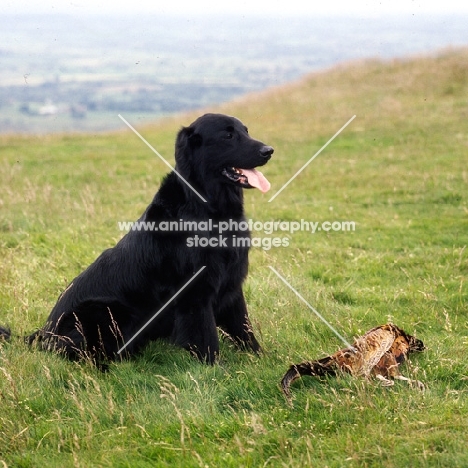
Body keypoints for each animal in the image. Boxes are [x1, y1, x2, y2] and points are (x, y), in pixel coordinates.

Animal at [0, 113, 272, 366]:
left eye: (245, 131)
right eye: (228, 135)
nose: (269, 150)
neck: (207, 207)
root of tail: (43, 334)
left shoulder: (231, 284)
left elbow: (244, 330)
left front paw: (262, 361)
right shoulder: (195, 293)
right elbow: (206, 340)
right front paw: (217, 371)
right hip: (102, 311)